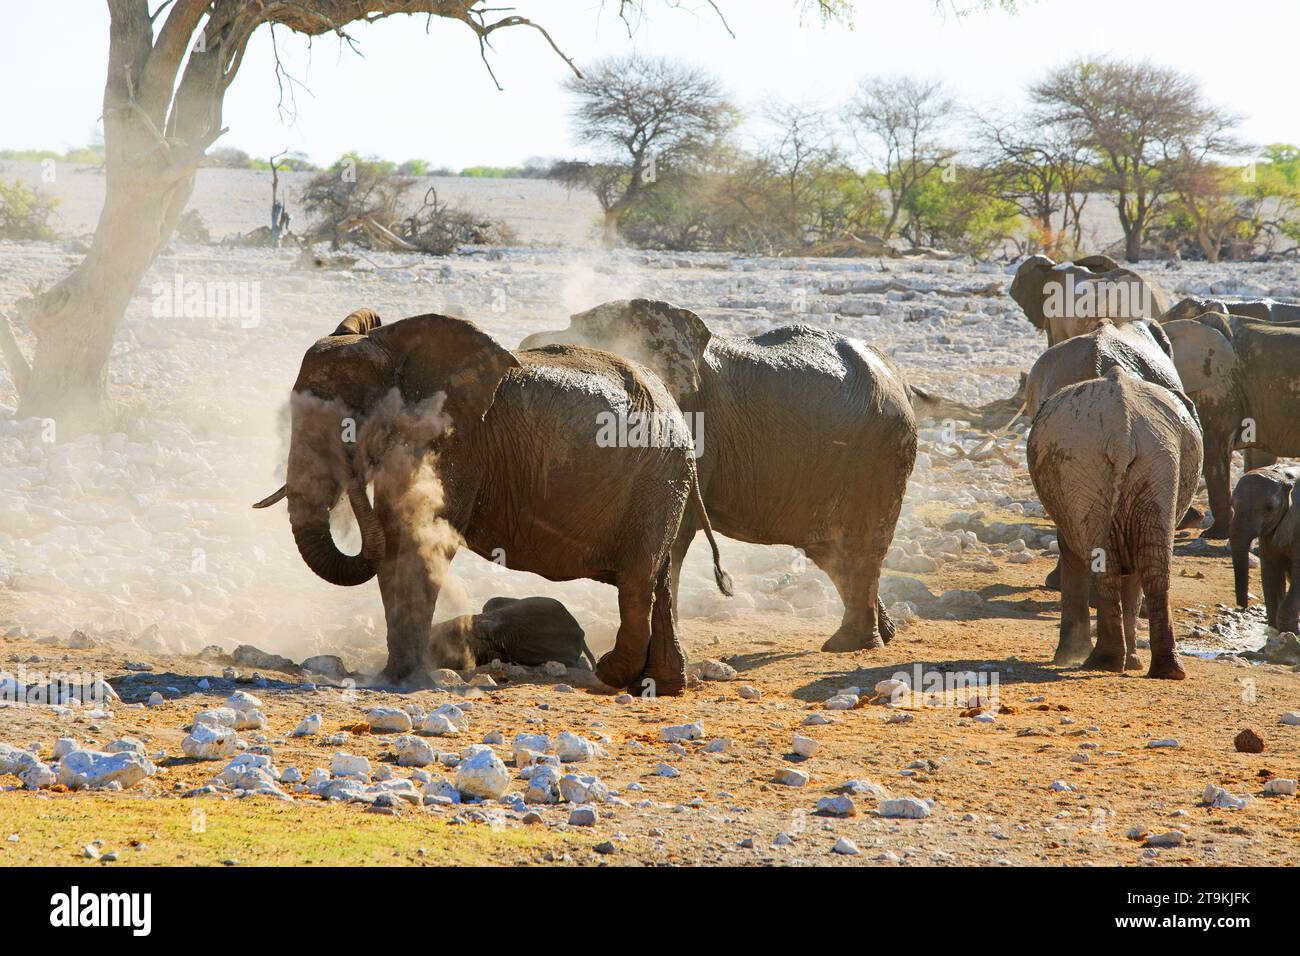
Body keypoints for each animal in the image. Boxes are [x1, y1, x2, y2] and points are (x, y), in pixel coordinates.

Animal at [519, 299, 918, 652]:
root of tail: (896, 376)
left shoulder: (694, 424)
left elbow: (673, 533)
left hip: (882, 451)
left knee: (862, 546)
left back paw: (849, 645)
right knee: (833, 553)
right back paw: (884, 634)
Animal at [1027, 367, 1202, 678]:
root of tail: (1122, 428)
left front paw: (1066, 658)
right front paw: (1129, 663)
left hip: (1087, 464)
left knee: (1113, 562)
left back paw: (1104, 662)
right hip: (1154, 463)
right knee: (1152, 564)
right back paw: (1163, 670)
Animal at [1230, 465, 1300, 635]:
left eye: (1269, 508)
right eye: (1232, 504)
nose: (1242, 606)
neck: (1285, 477)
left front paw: (1292, 632)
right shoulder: (1269, 533)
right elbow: (1270, 572)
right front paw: (1279, 630)